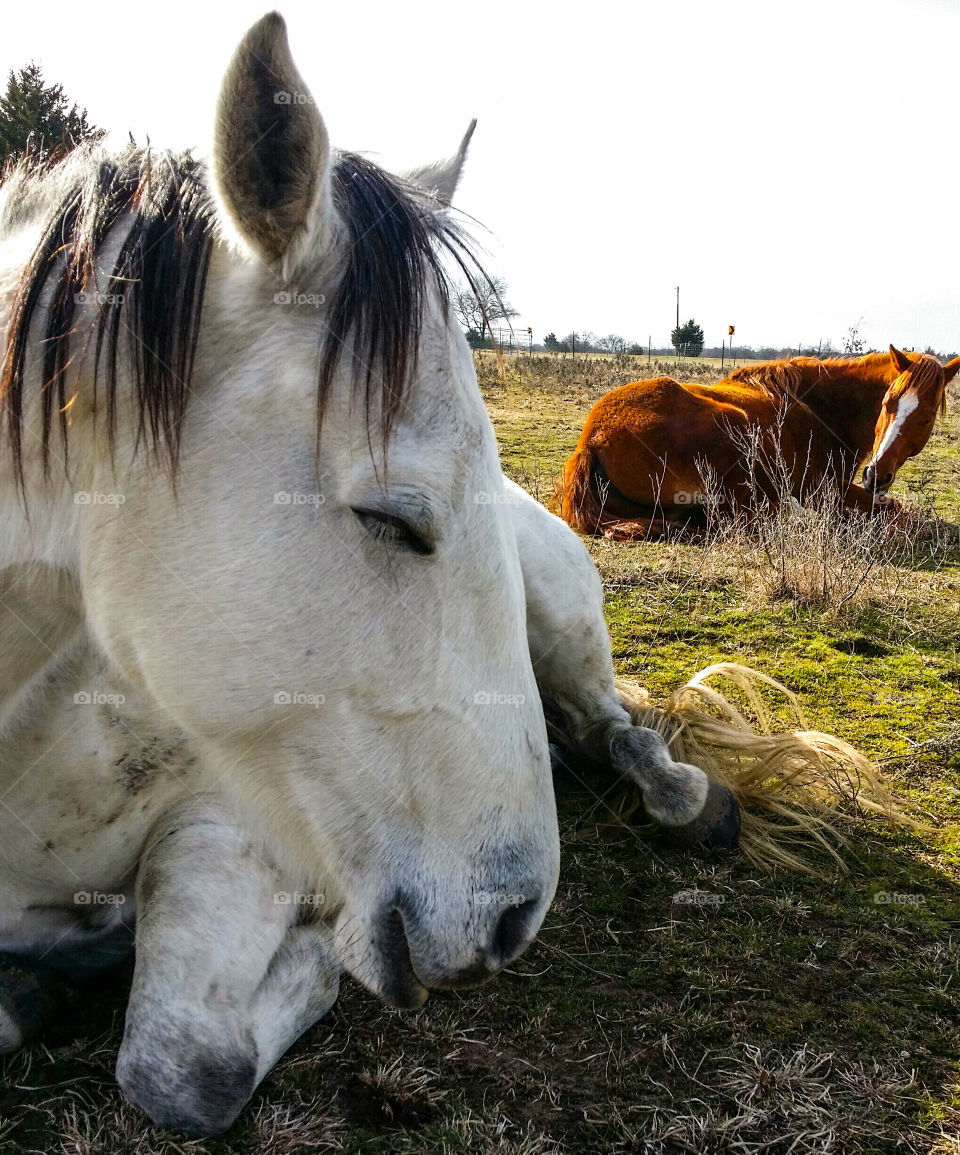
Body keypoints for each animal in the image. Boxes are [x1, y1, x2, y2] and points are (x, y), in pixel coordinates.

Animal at [0, 11, 734, 1136]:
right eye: (392, 516)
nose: (516, 916)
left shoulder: (231, 824)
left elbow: (182, 1067)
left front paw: (296, 954)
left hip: (566, 625)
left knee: (618, 726)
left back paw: (685, 793)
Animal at [559, 344, 956, 538]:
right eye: (888, 404)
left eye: (926, 416)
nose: (876, 475)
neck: (820, 407)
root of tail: (591, 439)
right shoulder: (823, 488)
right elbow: (897, 512)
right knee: (741, 519)